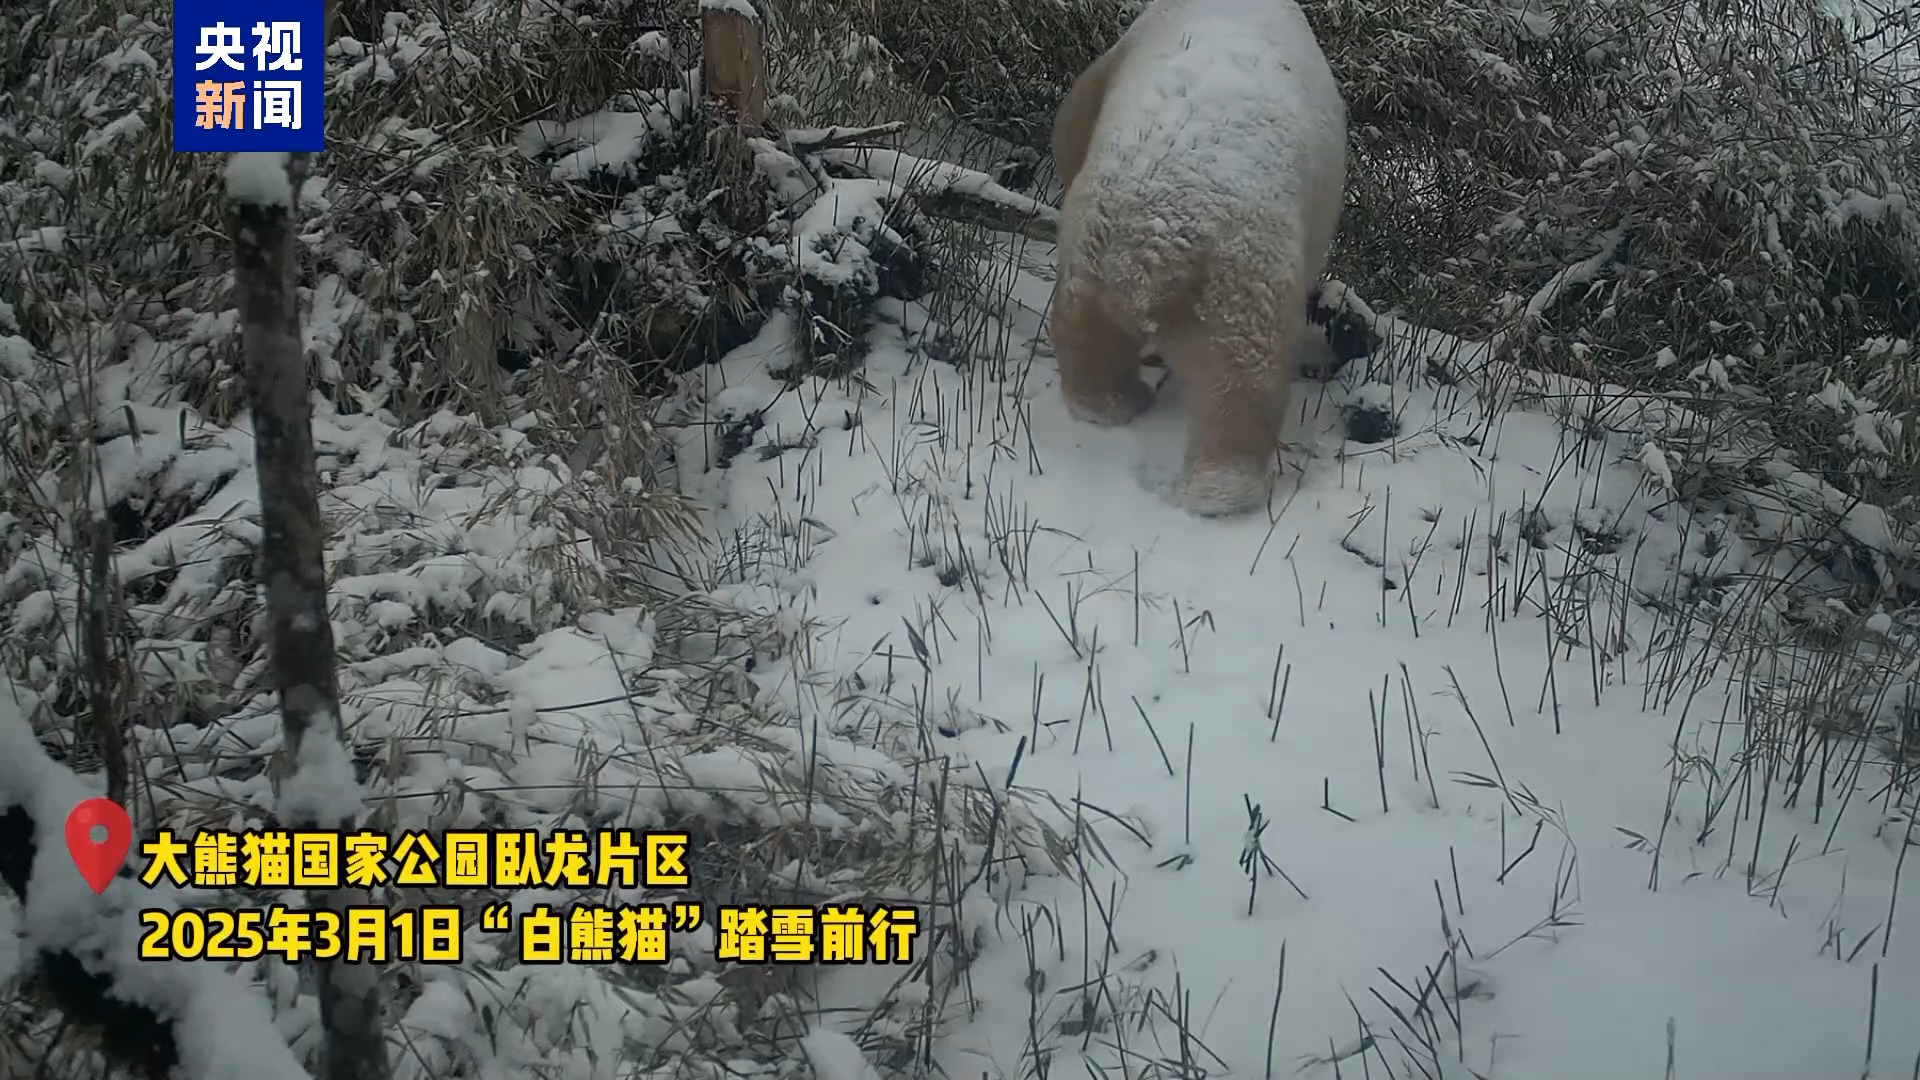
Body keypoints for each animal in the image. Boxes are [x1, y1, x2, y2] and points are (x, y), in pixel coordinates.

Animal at [1048, 0, 1349, 516]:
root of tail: (1153, 247)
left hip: (1092, 251)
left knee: (1087, 330)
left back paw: (1112, 403)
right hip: (1238, 278)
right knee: (1242, 379)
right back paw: (1220, 491)